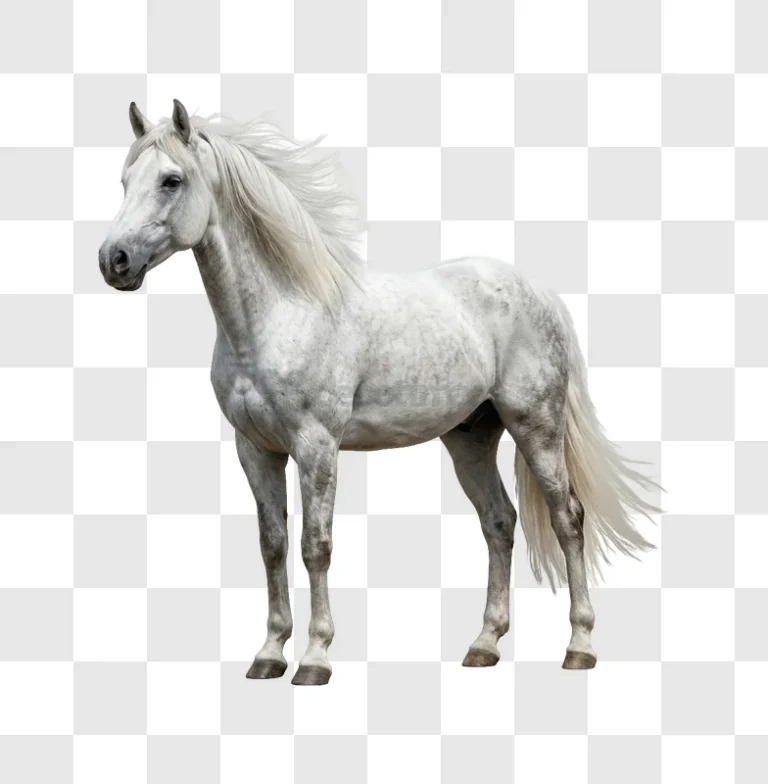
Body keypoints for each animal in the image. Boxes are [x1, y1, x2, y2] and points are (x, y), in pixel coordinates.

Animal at [99, 99, 659, 686]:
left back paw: (580, 646)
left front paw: (315, 659)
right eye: (125, 181)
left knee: (567, 518)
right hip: (471, 438)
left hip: (536, 427)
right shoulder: (255, 449)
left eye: (171, 180)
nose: (113, 261)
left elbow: (315, 546)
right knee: (499, 522)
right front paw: (270, 653)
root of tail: (539, 293)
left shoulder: (316, 446)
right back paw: (484, 644)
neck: (281, 311)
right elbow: (273, 545)